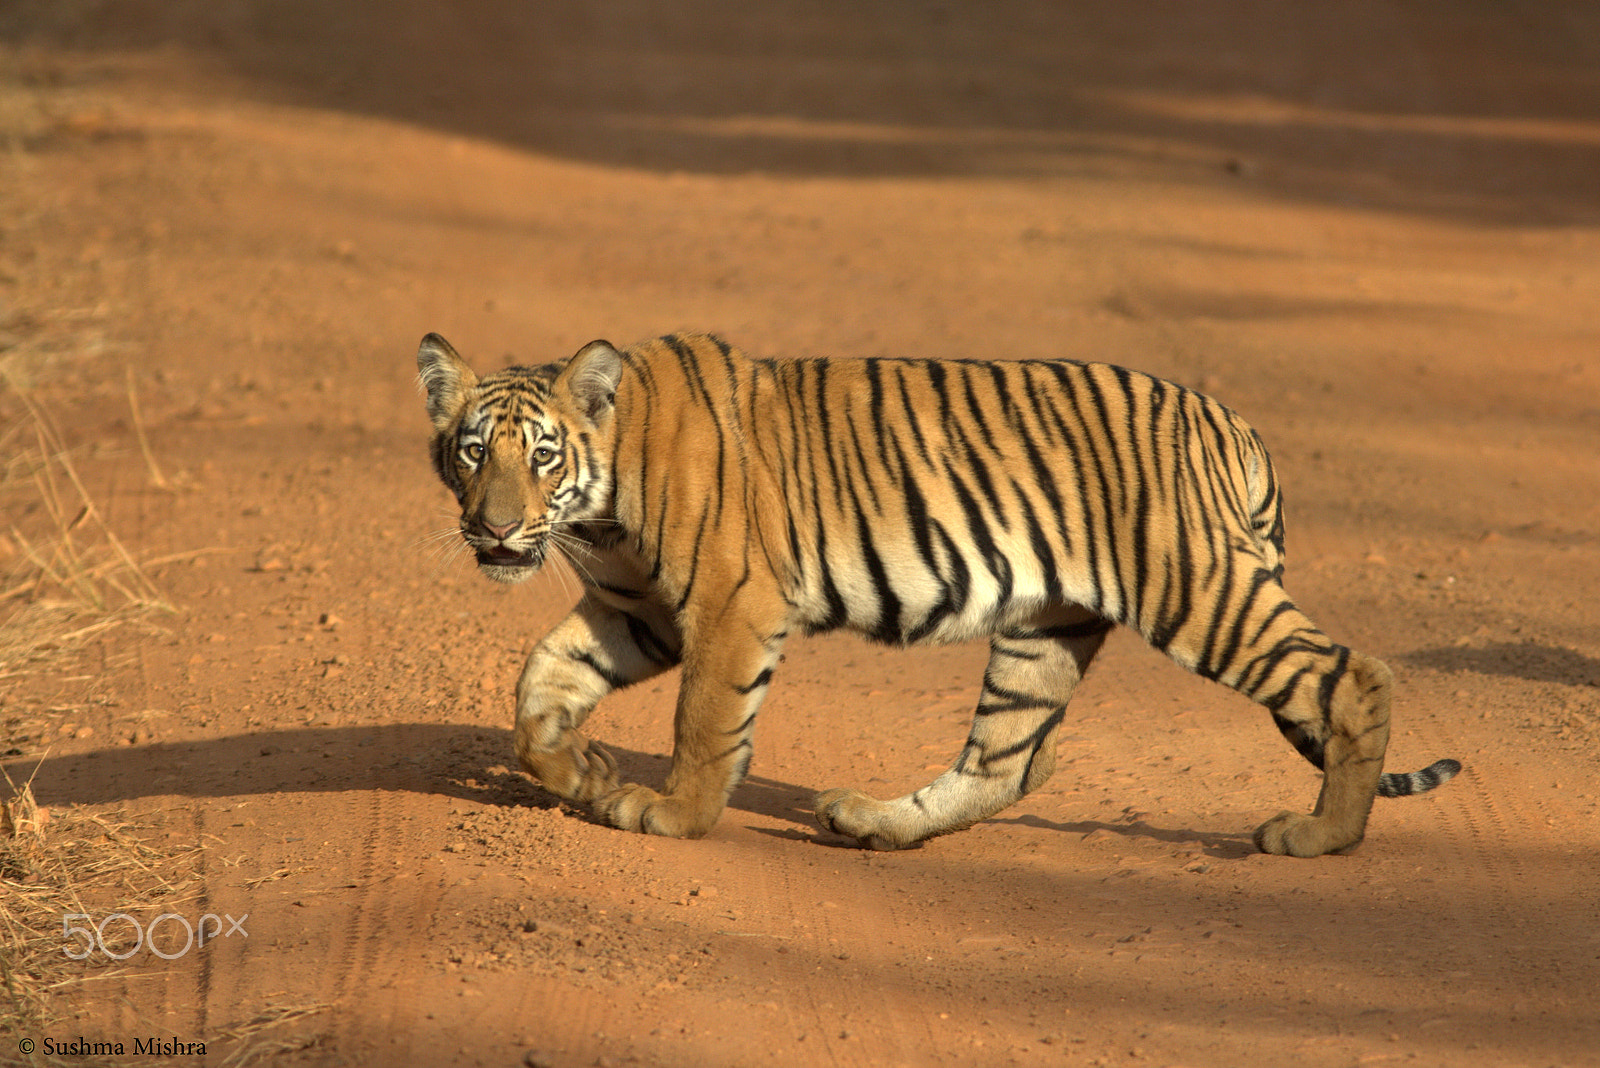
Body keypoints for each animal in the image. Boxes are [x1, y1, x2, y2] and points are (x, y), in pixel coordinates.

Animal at [416, 330, 1460, 857]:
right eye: (472, 452)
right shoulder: (638, 612)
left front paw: (670, 817)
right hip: (1046, 626)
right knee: (1010, 760)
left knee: (1352, 676)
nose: (496, 531)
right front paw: (578, 773)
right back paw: (872, 823)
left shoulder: (728, 604)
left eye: (541, 457)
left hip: (1196, 589)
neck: (597, 508)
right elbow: (538, 684)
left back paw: (1323, 835)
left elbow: (705, 724)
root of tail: (1235, 422)